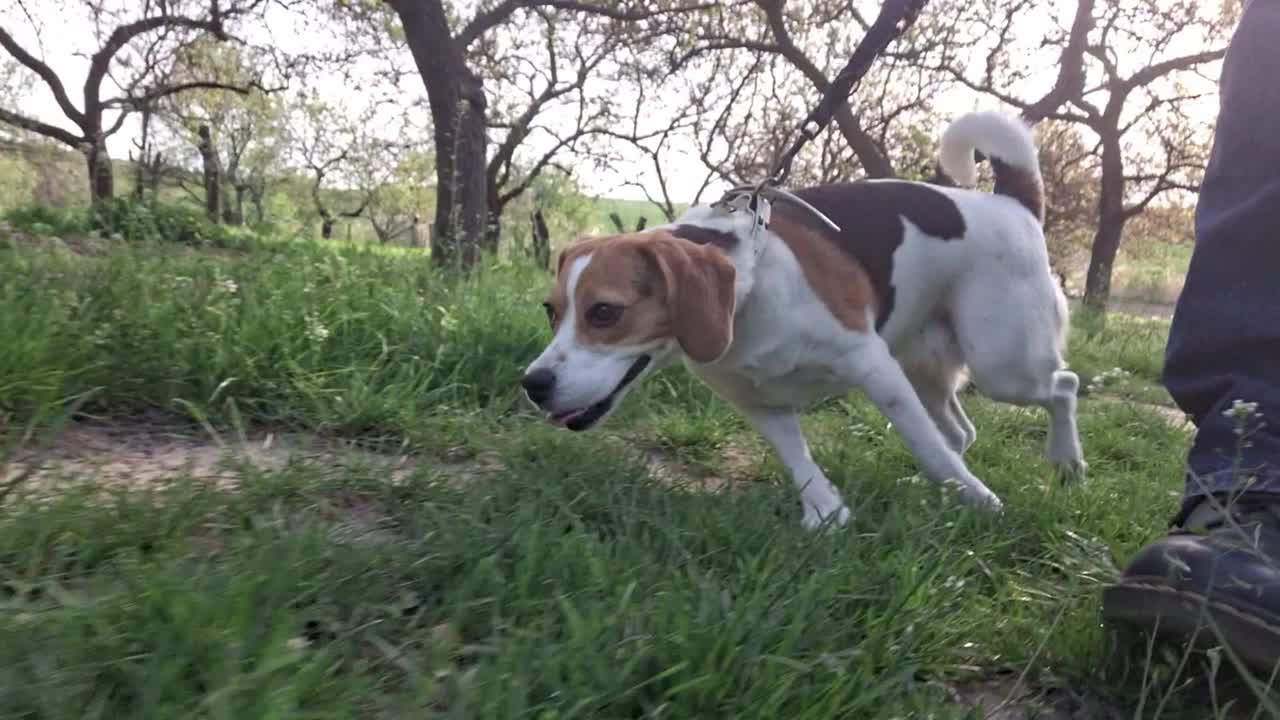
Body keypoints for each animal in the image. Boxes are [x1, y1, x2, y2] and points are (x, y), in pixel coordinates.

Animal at [519, 112, 1080, 527]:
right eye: (551, 311)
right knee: (960, 433)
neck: (748, 296)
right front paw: (827, 512)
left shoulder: (874, 368)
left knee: (1061, 386)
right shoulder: (756, 400)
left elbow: (925, 444)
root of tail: (1011, 202)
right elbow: (798, 459)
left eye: (604, 312)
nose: (533, 385)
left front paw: (983, 502)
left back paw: (1064, 461)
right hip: (927, 366)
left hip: (1003, 362)